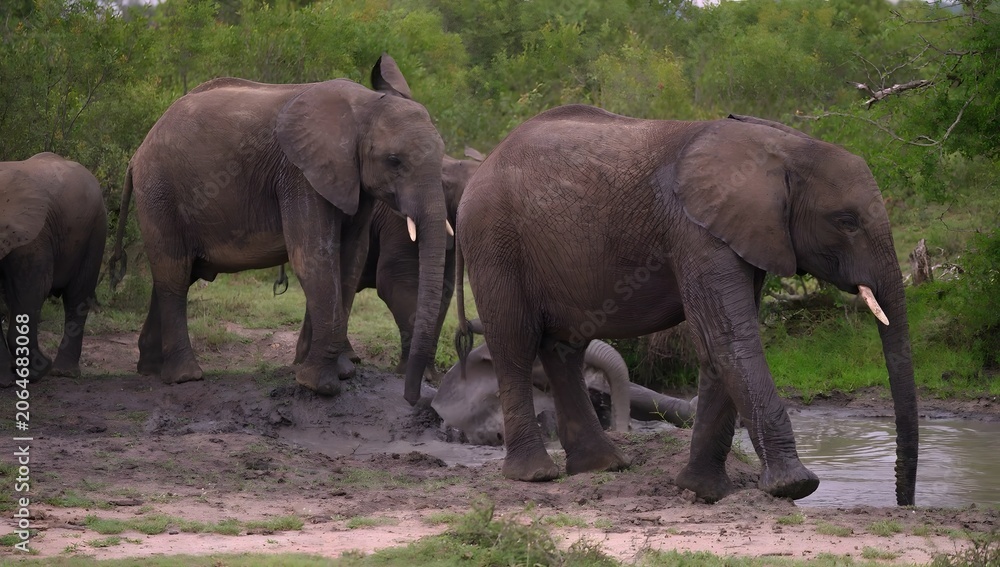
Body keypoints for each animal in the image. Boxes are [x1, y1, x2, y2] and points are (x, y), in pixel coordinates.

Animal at [0, 152, 107, 385]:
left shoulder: (32, 236)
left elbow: (31, 290)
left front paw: (36, 372)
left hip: (95, 228)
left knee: (77, 295)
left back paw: (62, 372)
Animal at [107, 55, 449, 404]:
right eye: (394, 160)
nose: (414, 397)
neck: (364, 105)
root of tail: (137, 155)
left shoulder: (353, 183)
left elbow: (351, 258)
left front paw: (343, 373)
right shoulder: (300, 174)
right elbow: (313, 255)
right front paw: (319, 386)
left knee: (173, 274)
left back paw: (151, 369)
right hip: (160, 191)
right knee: (174, 273)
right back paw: (185, 377)